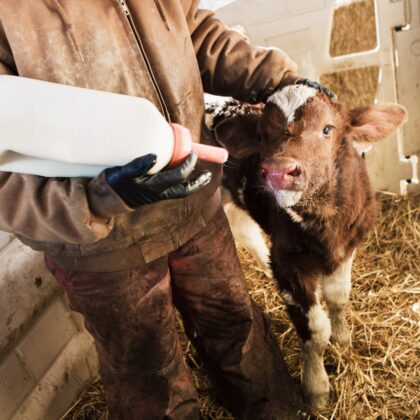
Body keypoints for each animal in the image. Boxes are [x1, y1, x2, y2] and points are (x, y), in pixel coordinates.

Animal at [205, 88, 408, 410]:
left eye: (327, 129)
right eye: (261, 135)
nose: (278, 172)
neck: (324, 223)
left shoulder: (347, 247)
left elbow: (338, 297)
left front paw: (343, 339)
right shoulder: (290, 263)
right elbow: (314, 330)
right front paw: (316, 390)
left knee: (245, 230)